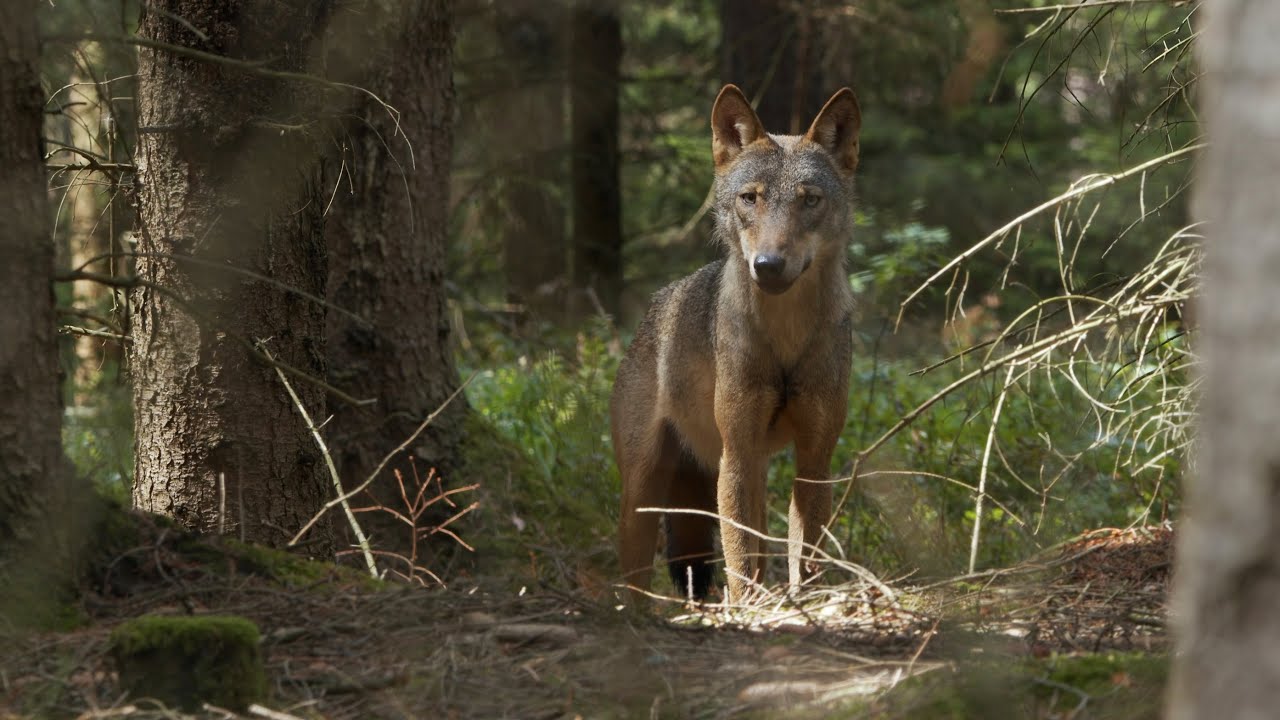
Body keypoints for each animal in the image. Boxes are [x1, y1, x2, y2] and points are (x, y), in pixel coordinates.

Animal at [611, 84, 860, 602]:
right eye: (750, 198)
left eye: (810, 201)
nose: (768, 264)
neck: (785, 338)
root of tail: (656, 306)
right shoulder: (738, 451)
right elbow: (740, 562)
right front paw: (748, 612)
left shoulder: (815, 456)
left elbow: (803, 558)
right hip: (645, 494)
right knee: (635, 579)